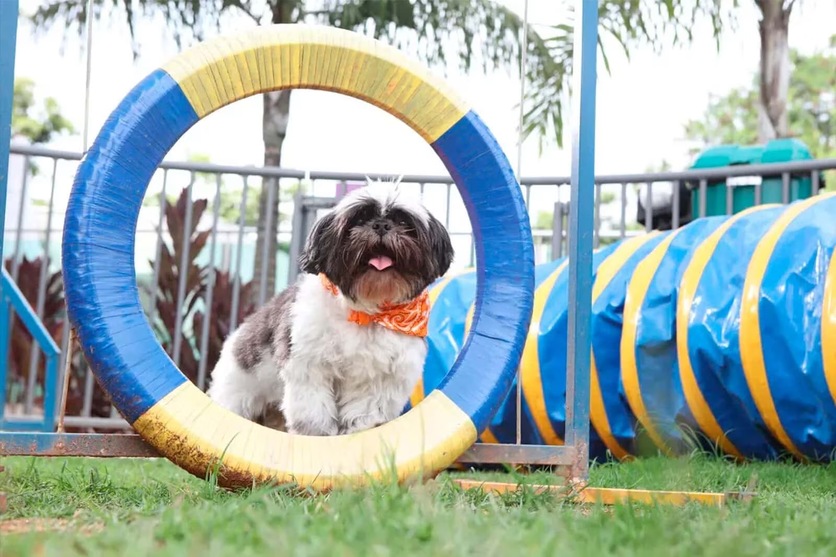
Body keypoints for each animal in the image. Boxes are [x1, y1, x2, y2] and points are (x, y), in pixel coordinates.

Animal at [209, 178, 458, 434]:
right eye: (359, 219)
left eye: (403, 221)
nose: (381, 225)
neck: (367, 309)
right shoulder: (309, 365)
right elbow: (313, 411)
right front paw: (316, 433)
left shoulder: (382, 378)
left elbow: (365, 410)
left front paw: (360, 430)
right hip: (236, 394)